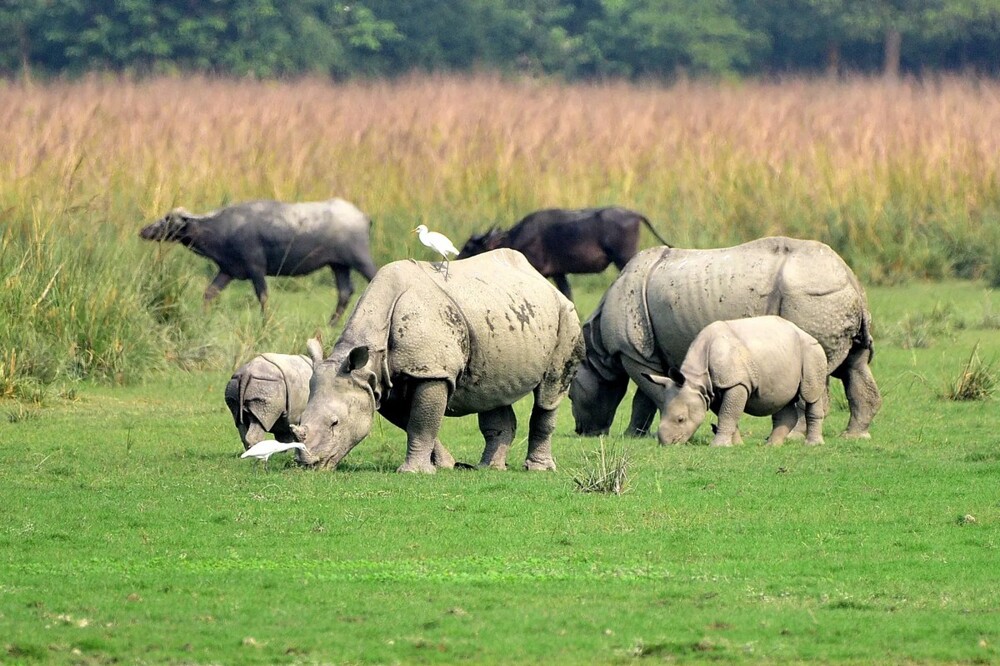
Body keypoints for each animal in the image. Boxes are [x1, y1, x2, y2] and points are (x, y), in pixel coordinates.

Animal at [139, 197, 376, 324]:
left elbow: (262, 296)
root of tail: (363, 217)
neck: (223, 228)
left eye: (167, 219)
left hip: (360, 259)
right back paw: (332, 323)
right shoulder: (228, 270)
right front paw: (202, 317)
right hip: (339, 265)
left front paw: (266, 322)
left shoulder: (256, 269)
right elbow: (210, 292)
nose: (144, 231)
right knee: (344, 292)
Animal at [290, 249, 584, 472]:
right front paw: (446, 465)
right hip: (504, 318)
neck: (369, 361)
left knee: (549, 392)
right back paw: (489, 468)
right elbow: (413, 421)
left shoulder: (430, 371)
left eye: (335, 423)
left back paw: (538, 469)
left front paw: (414, 472)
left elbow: (422, 422)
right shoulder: (382, 384)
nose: (308, 463)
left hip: (566, 314)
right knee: (493, 392)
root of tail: (540, 278)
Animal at [640, 316, 828, 446]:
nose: (667, 443)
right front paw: (736, 445)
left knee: (811, 394)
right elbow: (727, 414)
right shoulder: (712, 390)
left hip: (812, 351)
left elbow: (728, 413)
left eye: (681, 419)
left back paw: (812, 445)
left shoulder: (735, 383)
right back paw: (772, 446)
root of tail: (805, 332)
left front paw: (718, 446)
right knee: (782, 399)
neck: (696, 380)